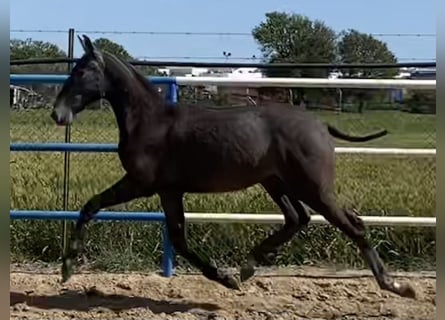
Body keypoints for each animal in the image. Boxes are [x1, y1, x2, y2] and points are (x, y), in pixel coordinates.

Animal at [50, 36, 414, 298]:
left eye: (81, 71)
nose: (57, 113)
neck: (149, 121)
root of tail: (320, 125)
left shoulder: (141, 183)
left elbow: (91, 205)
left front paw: (67, 268)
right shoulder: (169, 191)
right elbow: (178, 239)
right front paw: (227, 278)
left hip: (312, 187)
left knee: (351, 225)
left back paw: (396, 286)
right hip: (276, 183)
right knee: (297, 218)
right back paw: (248, 267)